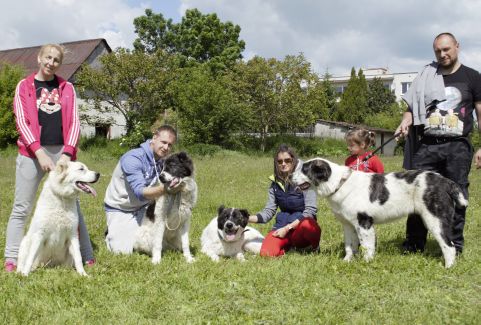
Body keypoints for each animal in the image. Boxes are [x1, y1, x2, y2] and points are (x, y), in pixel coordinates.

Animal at [290, 156, 466, 266]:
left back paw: (448, 267)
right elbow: (350, 245)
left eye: (304, 169)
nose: (290, 176)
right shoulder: (348, 224)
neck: (339, 183)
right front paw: (347, 261)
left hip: (435, 220)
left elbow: (367, 246)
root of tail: (445, 181)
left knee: (449, 246)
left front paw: (366, 263)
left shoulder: (364, 222)